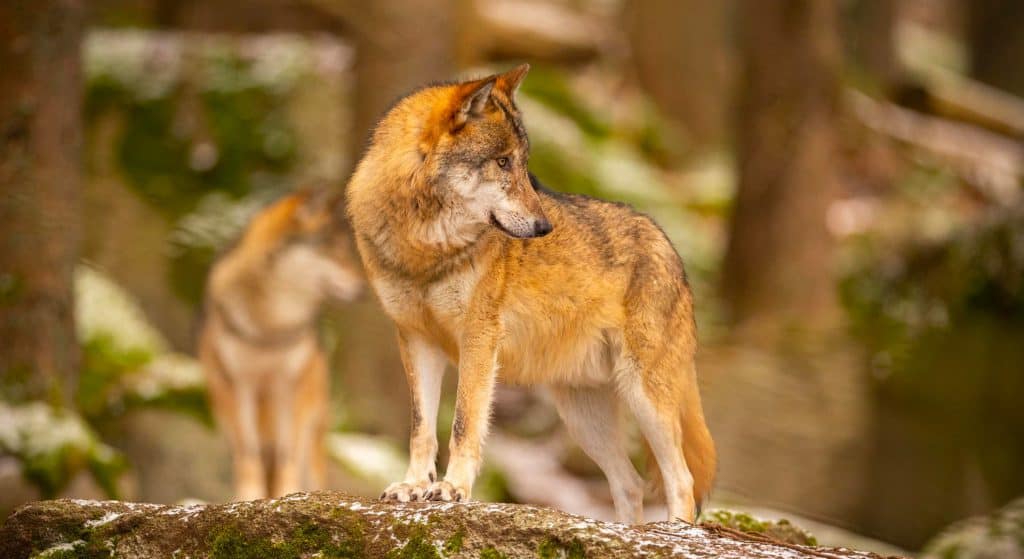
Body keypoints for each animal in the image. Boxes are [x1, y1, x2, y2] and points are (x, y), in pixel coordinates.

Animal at [198, 188, 363, 500]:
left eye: (346, 250)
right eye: (331, 249)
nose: (362, 289)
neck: (270, 327)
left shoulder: (289, 386)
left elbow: (289, 453)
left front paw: (289, 493)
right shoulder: (239, 385)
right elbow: (248, 453)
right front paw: (248, 497)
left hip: (312, 421)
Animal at [346, 64, 715, 522]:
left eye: (524, 165)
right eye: (503, 162)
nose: (544, 228)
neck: (424, 247)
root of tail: (670, 247)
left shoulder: (479, 339)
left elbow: (464, 423)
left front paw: (451, 489)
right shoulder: (416, 340)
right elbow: (421, 428)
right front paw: (413, 486)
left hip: (644, 396)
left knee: (680, 480)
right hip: (583, 416)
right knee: (629, 483)